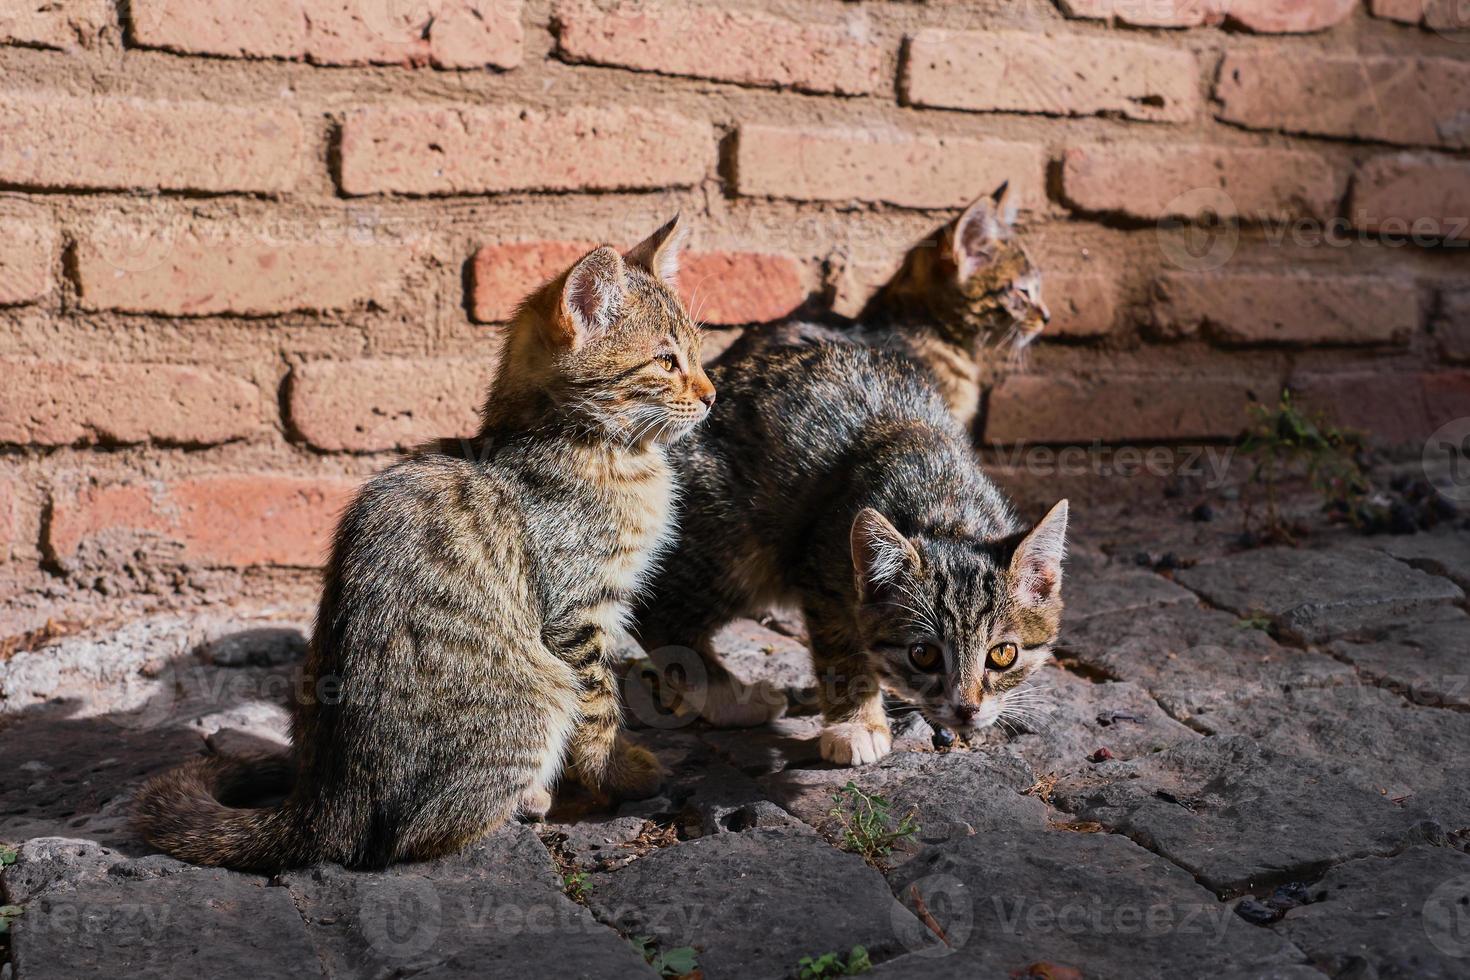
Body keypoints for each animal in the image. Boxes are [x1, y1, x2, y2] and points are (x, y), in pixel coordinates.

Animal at [136, 218, 711, 869]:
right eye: (665, 360)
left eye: (698, 351)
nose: (711, 393)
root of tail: (326, 803)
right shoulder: (575, 610)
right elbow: (600, 706)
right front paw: (619, 771)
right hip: (538, 691)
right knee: (415, 836)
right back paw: (528, 803)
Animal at [632, 345, 1070, 764]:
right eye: (923, 654)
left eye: (1004, 654)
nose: (967, 710)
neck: (946, 510)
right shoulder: (824, 572)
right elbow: (841, 650)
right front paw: (857, 726)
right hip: (734, 540)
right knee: (657, 617)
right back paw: (732, 700)